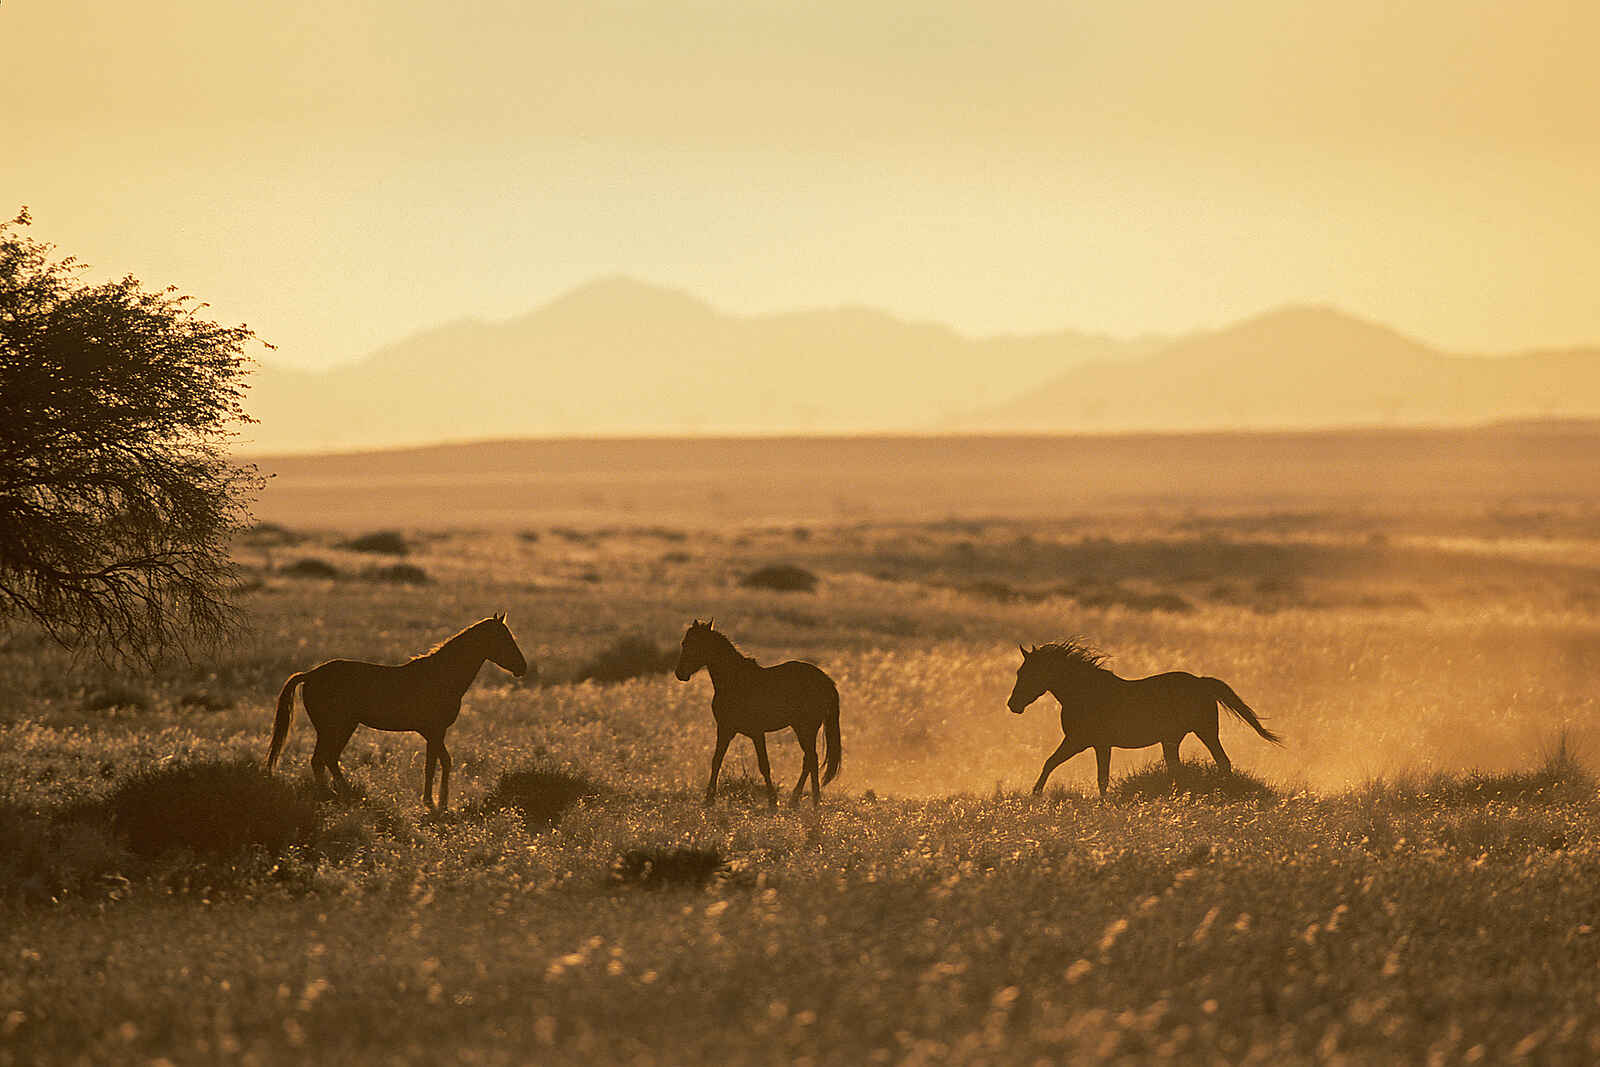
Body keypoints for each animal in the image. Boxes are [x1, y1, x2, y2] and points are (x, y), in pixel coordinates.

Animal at [266, 613, 531, 810]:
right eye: (505, 639)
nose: (522, 667)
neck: (441, 675)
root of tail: (310, 675)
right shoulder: (435, 731)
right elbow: (440, 763)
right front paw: (437, 803)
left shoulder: (433, 733)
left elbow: (436, 763)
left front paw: (436, 802)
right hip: (334, 728)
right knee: (321, 759)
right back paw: (334, 796)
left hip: (342, 727)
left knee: (328, 759)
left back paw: (344, 794)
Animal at [674, 619, 841, 808]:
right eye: (685, 643)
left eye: (696, 644)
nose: (680, 673)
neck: (735, 681)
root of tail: (825, 681)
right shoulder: (725, 729)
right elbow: (716, 760)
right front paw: (709, 799)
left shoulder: (756, 732)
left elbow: (764, 765)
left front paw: (773, 801)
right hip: (802, 729)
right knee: (810, 760)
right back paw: (802, 800)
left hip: (805, 729)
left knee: (811, 759)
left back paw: (809, 800)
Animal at [1007, 640, 1281, 797]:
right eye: (1020, 671)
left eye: (1030, 673)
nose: (1013, 705)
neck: (1086, 692)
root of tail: (1202, 682)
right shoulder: (1096, 745)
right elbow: (1093, 775)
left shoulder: (1081, 741)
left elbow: (1054, 764)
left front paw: (1035, 796)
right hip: (1172, 740)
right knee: (1178, 768)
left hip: (1205, 732)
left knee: (1222, 762)